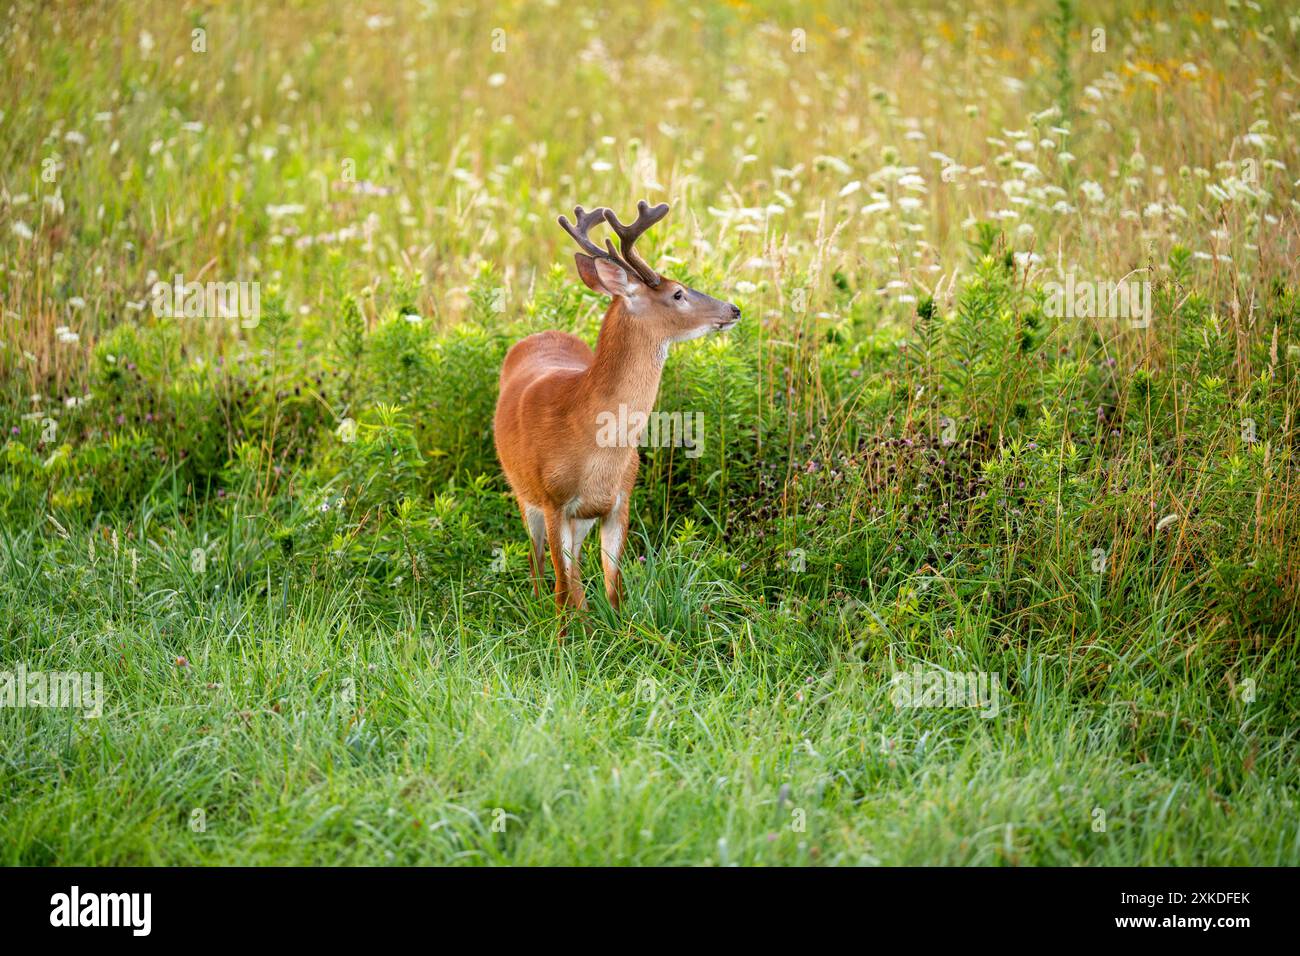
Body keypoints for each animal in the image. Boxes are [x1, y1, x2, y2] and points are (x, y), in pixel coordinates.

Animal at [493, 202, 743, 616]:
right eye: (678, 293)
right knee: (539, 562)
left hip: (580, 518)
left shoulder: (618, 501)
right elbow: (561, 589)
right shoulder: (553, 500)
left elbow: (614, 587)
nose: (734, 309)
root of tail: (540, 334)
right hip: (525, 494)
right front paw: (562, 633)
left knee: (576, 570)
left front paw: (620, 627)